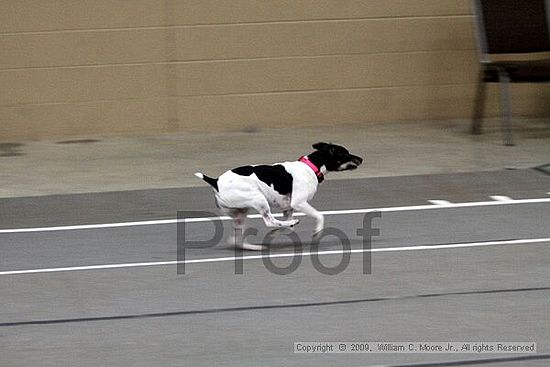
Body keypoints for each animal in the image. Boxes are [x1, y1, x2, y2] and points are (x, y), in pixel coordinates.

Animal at [196, 142, 364, 252]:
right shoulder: (299, 203)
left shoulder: (288, 209)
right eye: (345, 153)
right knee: (269, 221)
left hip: (241, 213)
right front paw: (317, 231)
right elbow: (320, 216)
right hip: (259, 199)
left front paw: (277, 232)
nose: (361, 158)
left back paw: (256, 247)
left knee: (235, 240)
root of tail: (216, 181)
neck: (310, 167)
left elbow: (285, 228)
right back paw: (291, 223)